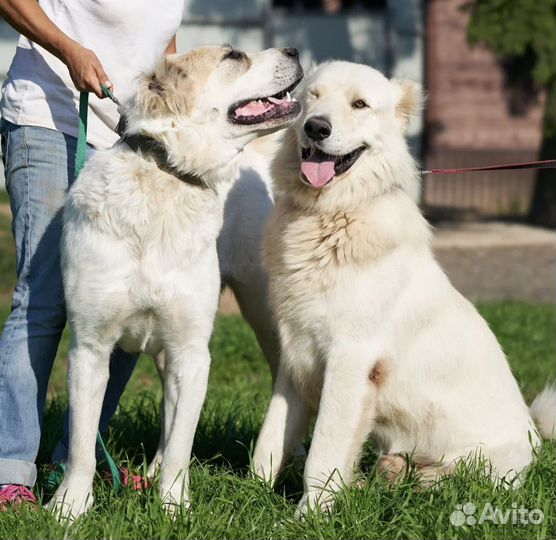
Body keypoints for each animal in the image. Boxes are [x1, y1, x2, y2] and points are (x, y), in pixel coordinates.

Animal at [51, 46, 304, 520]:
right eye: (235, 56)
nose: (295, 50)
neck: (167, 174)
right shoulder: (90, 348)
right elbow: (81, 445)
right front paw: (69, 508)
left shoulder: (193, 352)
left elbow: (182, 446)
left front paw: (172, 506)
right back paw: (147, 473)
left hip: (265, 319)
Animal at [253, 61, 556, 512]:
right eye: (312, 98)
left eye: (359, 104)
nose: (315, 128)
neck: (332, 216)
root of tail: (536, 442)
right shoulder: (296, 357)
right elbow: (269, 442)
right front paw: (249, 494)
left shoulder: (350, 361)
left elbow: (322, 454)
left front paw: (306, 516)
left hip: (476, 469)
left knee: (443, 482)